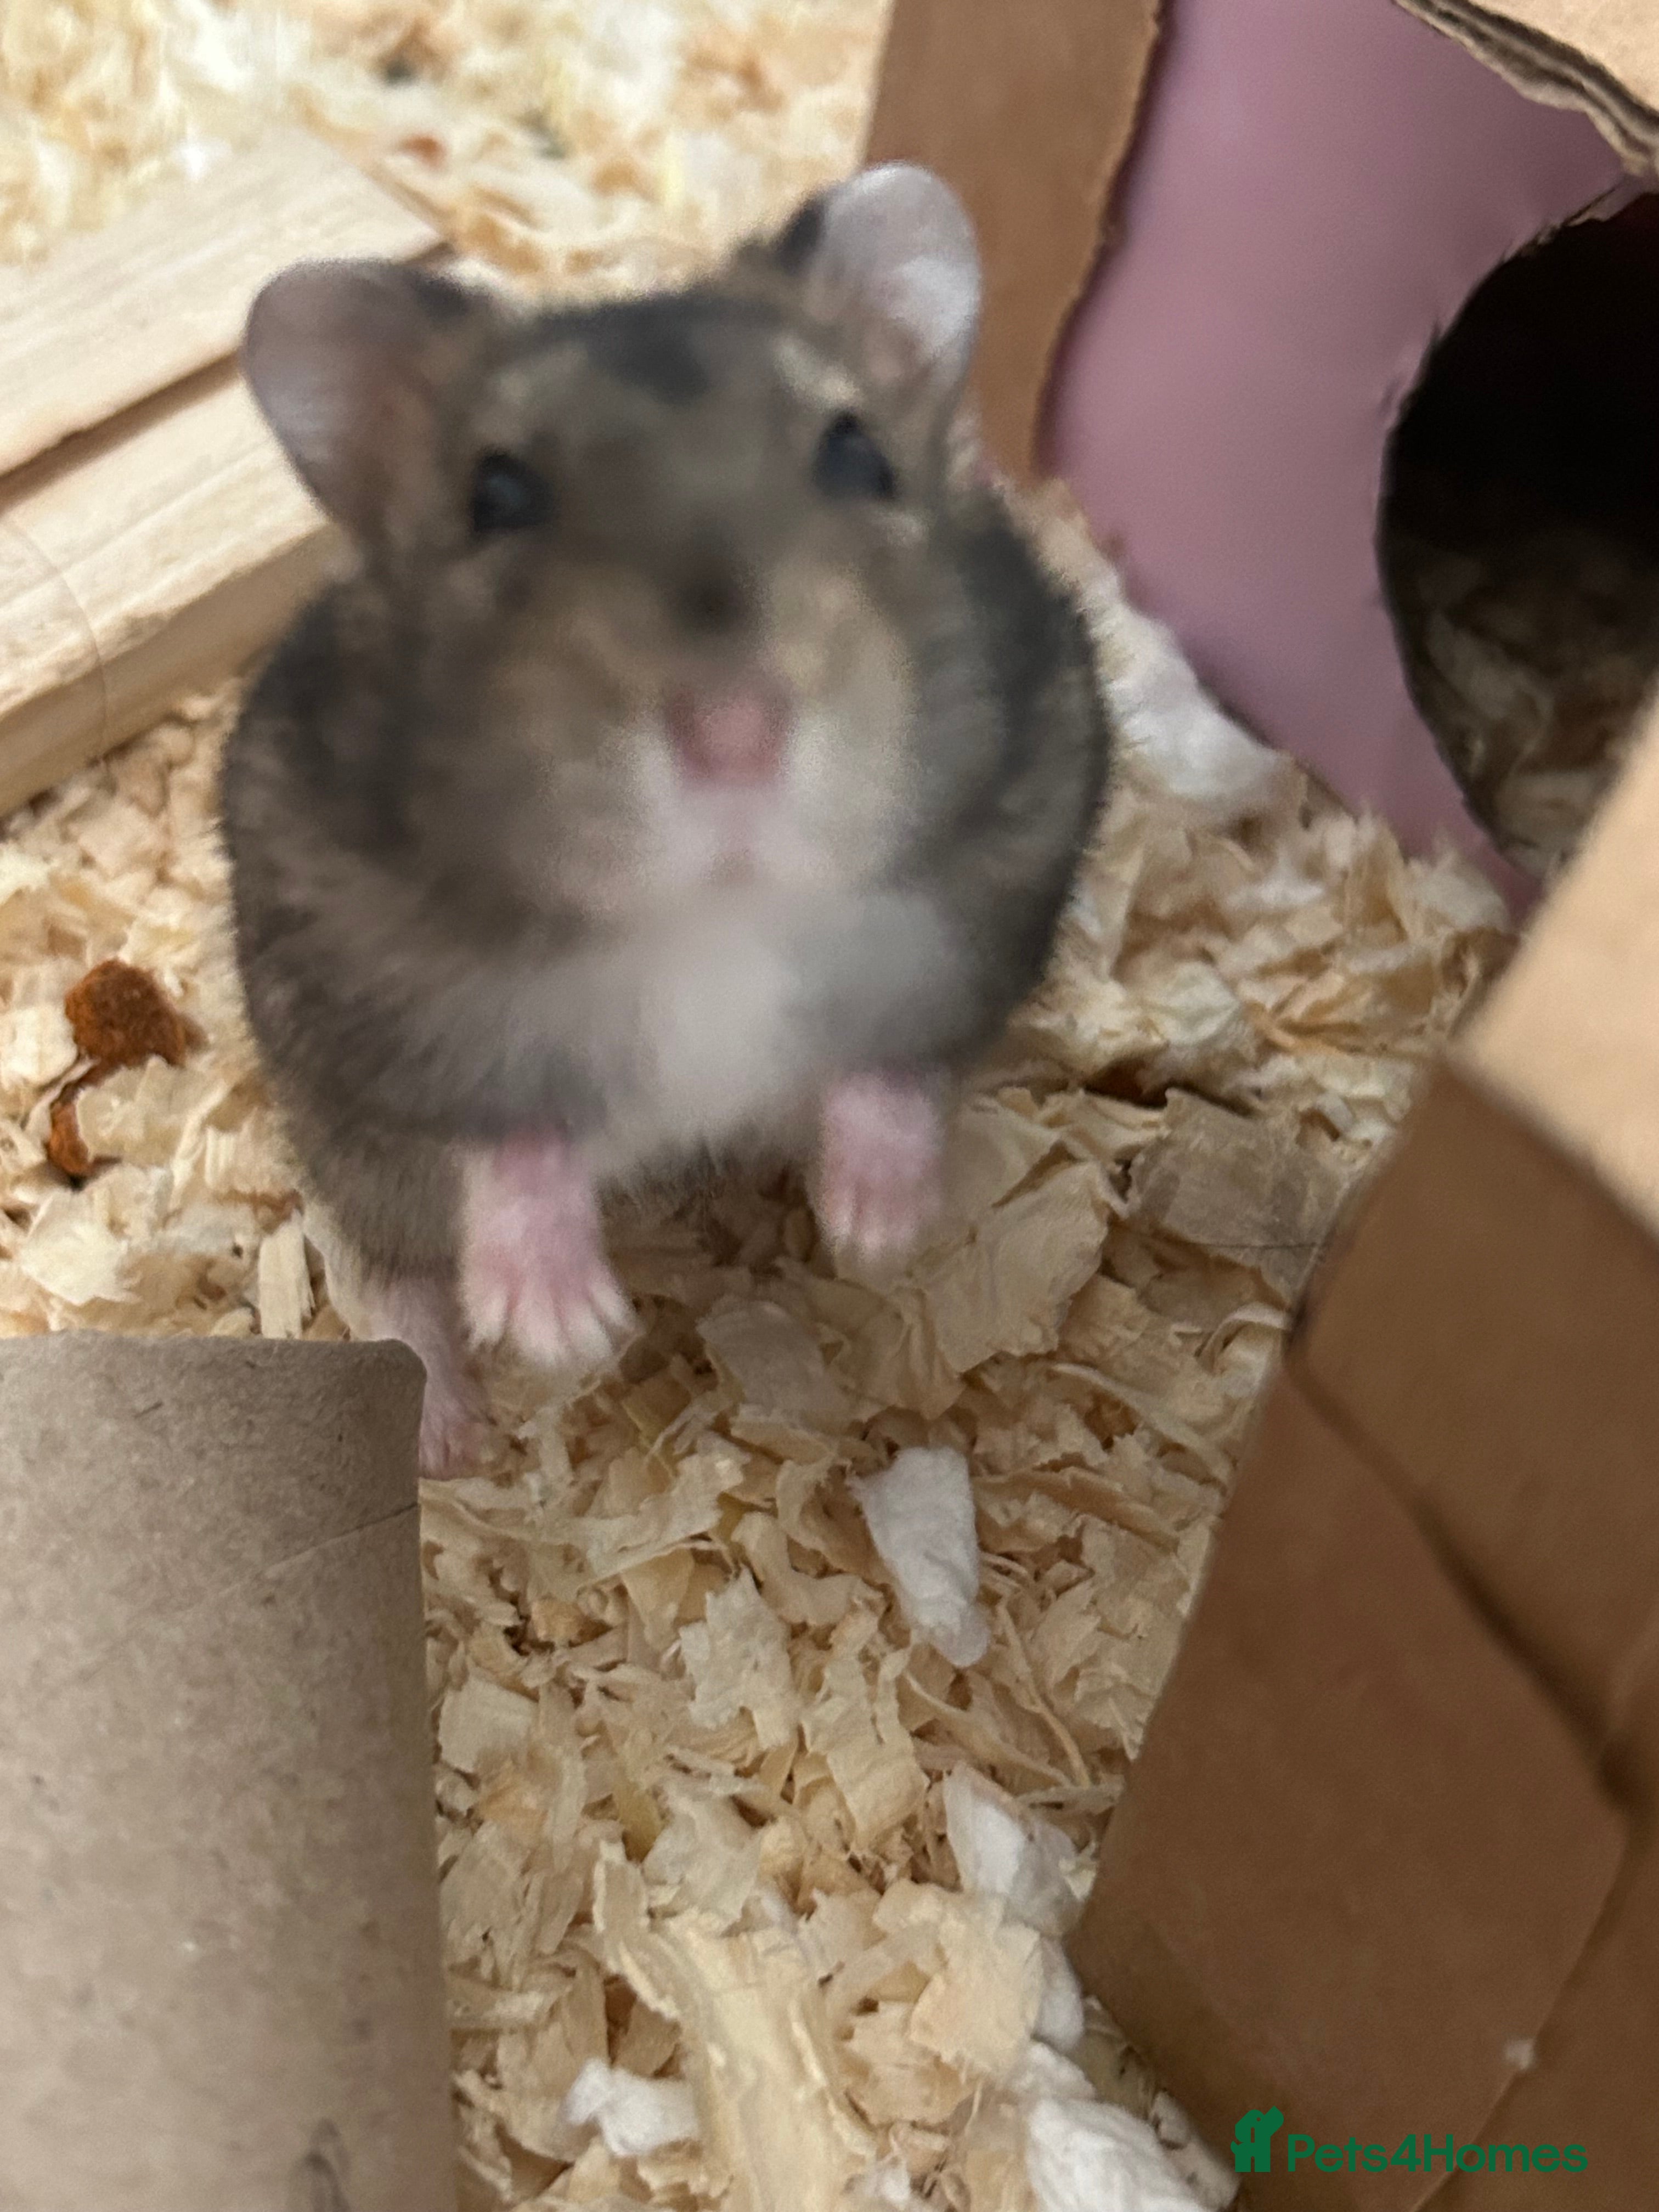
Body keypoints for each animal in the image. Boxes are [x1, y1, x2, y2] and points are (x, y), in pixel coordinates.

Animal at [219, 163, 1113, 1476]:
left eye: (859, 455)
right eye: (496, 496)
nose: (735, 731)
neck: (714, 918)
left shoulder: (999, 880)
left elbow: (893, 1062)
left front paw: (881, 1228)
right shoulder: (370, 991)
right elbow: (505, 1135)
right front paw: (565, 1326)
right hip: (342, 1137)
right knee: (389, 1270)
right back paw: (447, 1437)